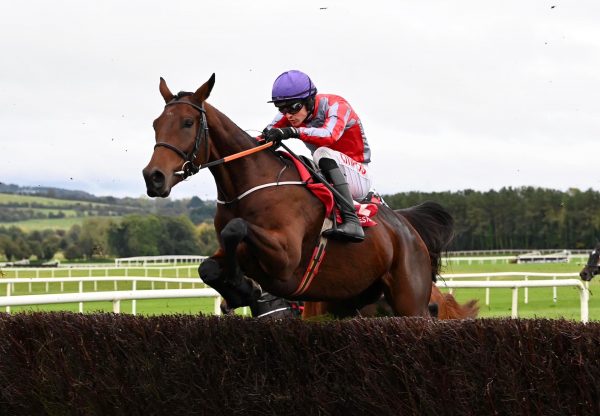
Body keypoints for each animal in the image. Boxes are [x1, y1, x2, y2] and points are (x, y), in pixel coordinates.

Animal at [143, 73, 472, 316]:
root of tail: (406, 227)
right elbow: (208, 266)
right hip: (348, 301)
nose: (153, 177)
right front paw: (242, 290)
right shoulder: (231, 253)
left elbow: (237, 228)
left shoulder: (285, 257)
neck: (250, 183)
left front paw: (244, 286)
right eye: (156, 124)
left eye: (188, 123)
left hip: (410, 299)